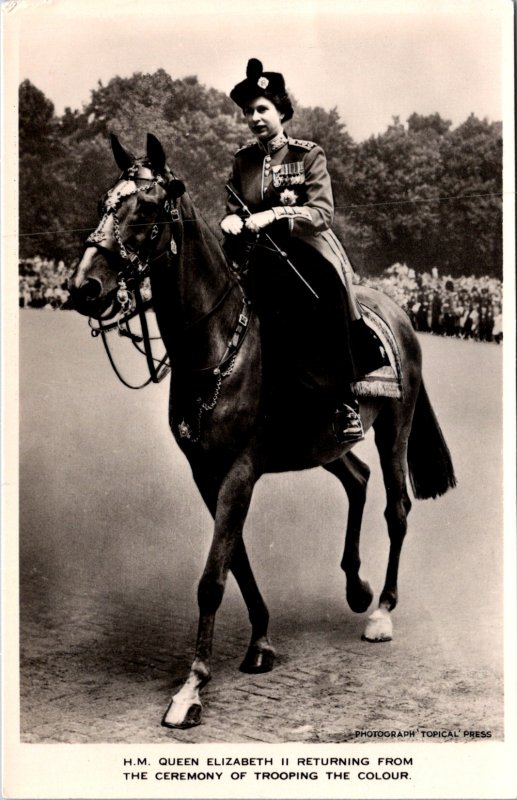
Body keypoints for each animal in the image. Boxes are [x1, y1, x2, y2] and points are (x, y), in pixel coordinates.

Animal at [70, 134, 454, 728]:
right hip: (326, 442)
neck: (218, 346)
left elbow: (212, 577)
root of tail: (398, 310)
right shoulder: (208, 474)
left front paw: (192, 687)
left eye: (148, 209)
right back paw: (356, 586)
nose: (84, 287)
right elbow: (237, 561)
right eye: (103, 203)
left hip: (396, 426)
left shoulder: (239, 472)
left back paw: (382, 611)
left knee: (396, 508)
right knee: (358, 479)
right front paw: (260, 642)